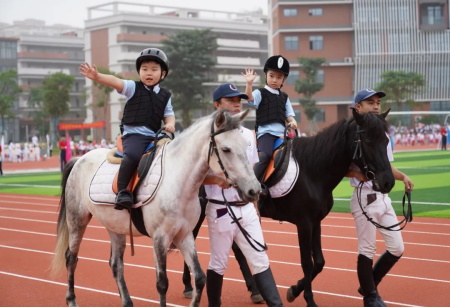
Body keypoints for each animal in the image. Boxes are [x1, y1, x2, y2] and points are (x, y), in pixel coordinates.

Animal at [50, 110, 260, 307]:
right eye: (226, 149)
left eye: (246, 145)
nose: (254, 189)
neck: (178, 180)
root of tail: (79, 159)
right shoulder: (160, 237)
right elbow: (162, 283)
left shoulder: (184, 234)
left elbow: (200, 277)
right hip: (77, 220)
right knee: (71, 258)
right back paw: (72, 299)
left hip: (115, 227)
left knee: (116, 265)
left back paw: (127, 301)